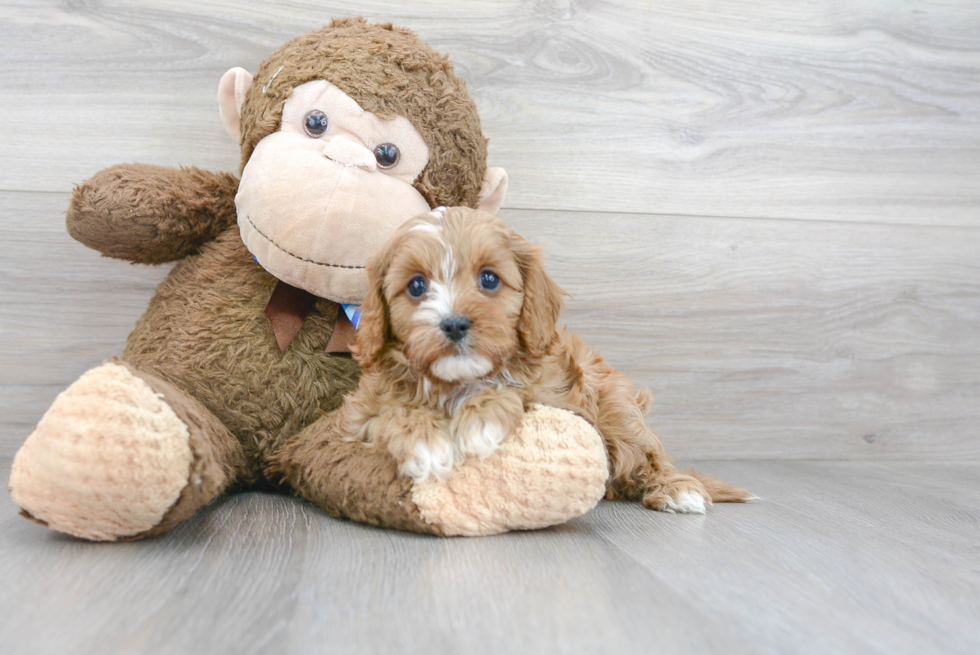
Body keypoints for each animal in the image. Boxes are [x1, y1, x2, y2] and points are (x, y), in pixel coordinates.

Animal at [340, 208, 756, 516]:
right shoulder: (357, 414)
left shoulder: (561, 397)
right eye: (416, 286)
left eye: (489, 279)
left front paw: (481, 422)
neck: (457, 382)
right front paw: (427, 443)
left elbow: (512, 392)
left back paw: (677, 490)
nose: (454, 323)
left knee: (645, 454)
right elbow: (391, 412)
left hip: (617, 408)